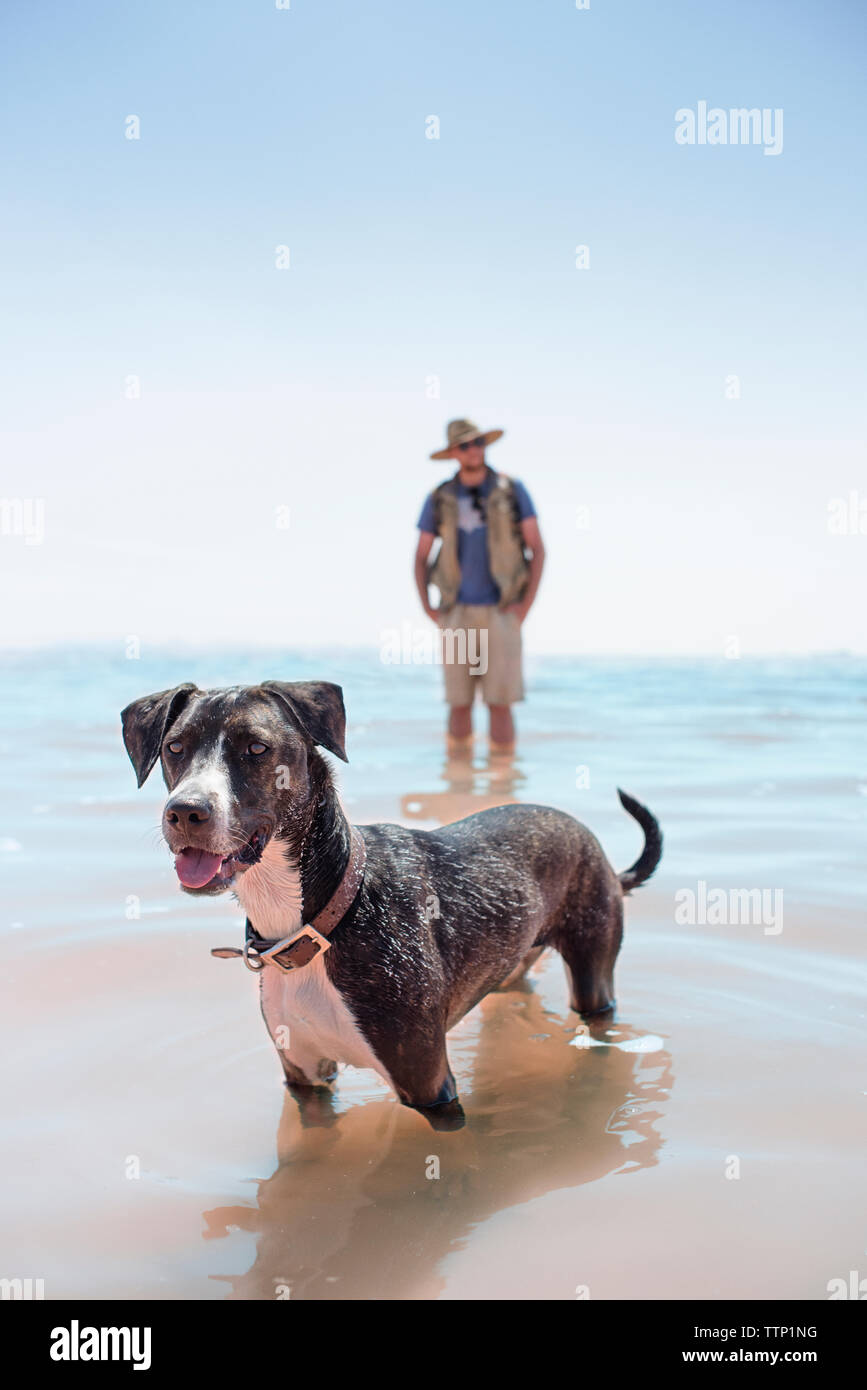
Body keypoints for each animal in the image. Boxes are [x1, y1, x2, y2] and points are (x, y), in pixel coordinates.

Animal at [122, 681, 661, 1128]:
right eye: (174, 748)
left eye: (256, 747)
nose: (185, 811)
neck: (318, 921)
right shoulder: (305, 1079)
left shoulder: (429, 1085)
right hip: (514, 959)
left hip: (594, 969)